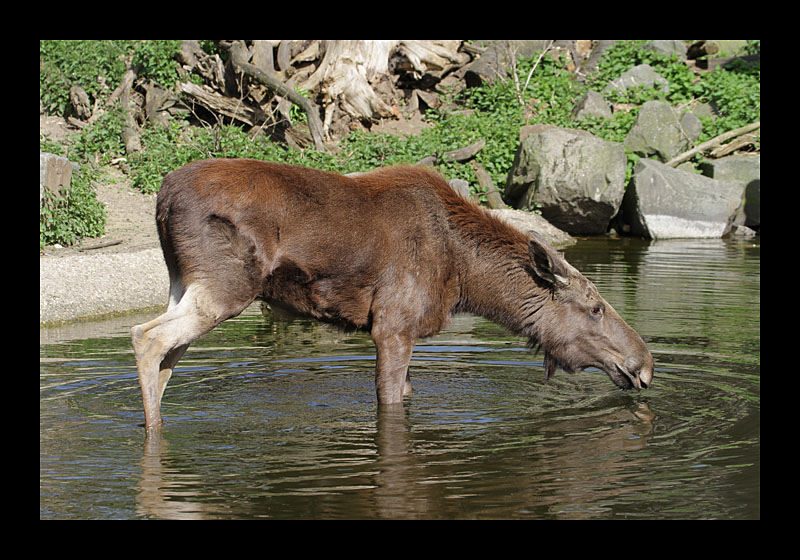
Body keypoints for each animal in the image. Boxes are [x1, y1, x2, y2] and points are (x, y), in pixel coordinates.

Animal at [131, 160, 652, 430]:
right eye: (596, 307)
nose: (644, 365)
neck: (466, 277)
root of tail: (161, 199)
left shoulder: (403, 331)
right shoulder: (393, 325)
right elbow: (390, 400)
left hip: (182, 282)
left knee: (167, 351)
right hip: (226, 286)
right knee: (147, 337)